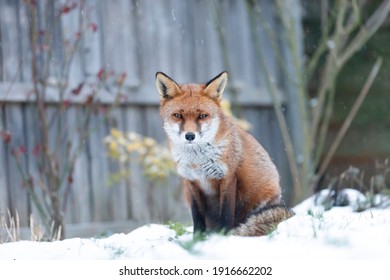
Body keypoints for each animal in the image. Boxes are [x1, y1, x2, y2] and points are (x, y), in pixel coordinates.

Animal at [155, 71, 292, 235]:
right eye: (177, 115)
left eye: (202, 116)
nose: (190, 136)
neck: (197, 161)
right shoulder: (192, 182)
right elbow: (197, 216)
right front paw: (197, 237)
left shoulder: (228, 178)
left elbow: (226, 214)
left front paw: (225, 236)